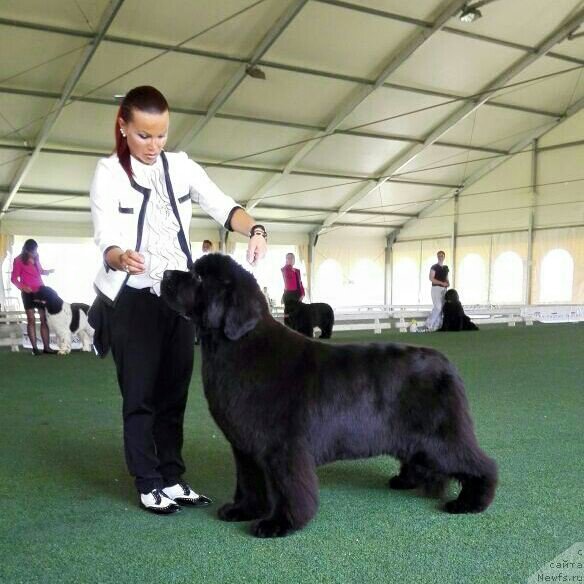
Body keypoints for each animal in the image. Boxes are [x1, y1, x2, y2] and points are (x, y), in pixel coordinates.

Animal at [161, 256, 498, 540]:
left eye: (198, 277)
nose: (164, 274)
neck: (236, 346)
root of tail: (447, 364)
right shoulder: (245, 447)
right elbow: (248, 482)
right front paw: (242, 510)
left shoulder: (283, 446)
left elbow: (289, 488)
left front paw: (279, 523)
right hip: (417, 437)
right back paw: (405, 481)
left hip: (441, 437)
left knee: (481, 464)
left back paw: (471, 502)